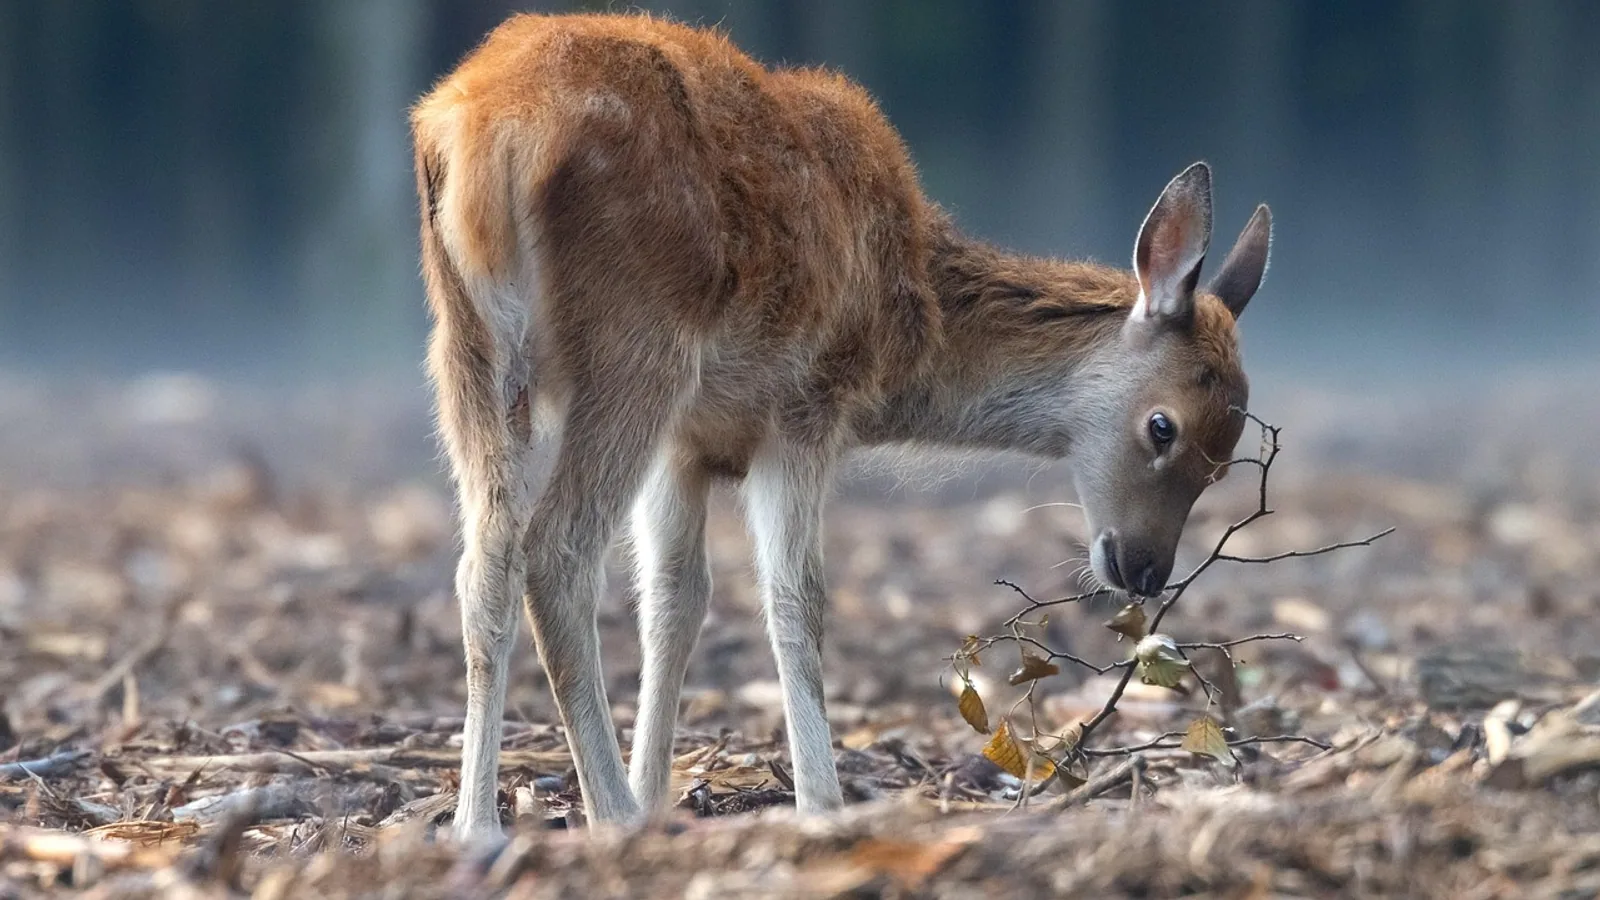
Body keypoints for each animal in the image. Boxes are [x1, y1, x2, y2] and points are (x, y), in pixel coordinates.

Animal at [410, 12, 1272, 841]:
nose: (1145, 570)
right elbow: (797, 600)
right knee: (558, 551)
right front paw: (818, 803)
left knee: (485, 562)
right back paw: (608, 816)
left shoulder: (687, 442)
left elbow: (674, 599)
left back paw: (478, 825)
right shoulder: (805, 406)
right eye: (1163, 426)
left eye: (1225, 459)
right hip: (637, 348)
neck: (907, 328)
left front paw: (660, 793)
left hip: (467, 351)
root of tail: (484, 133)